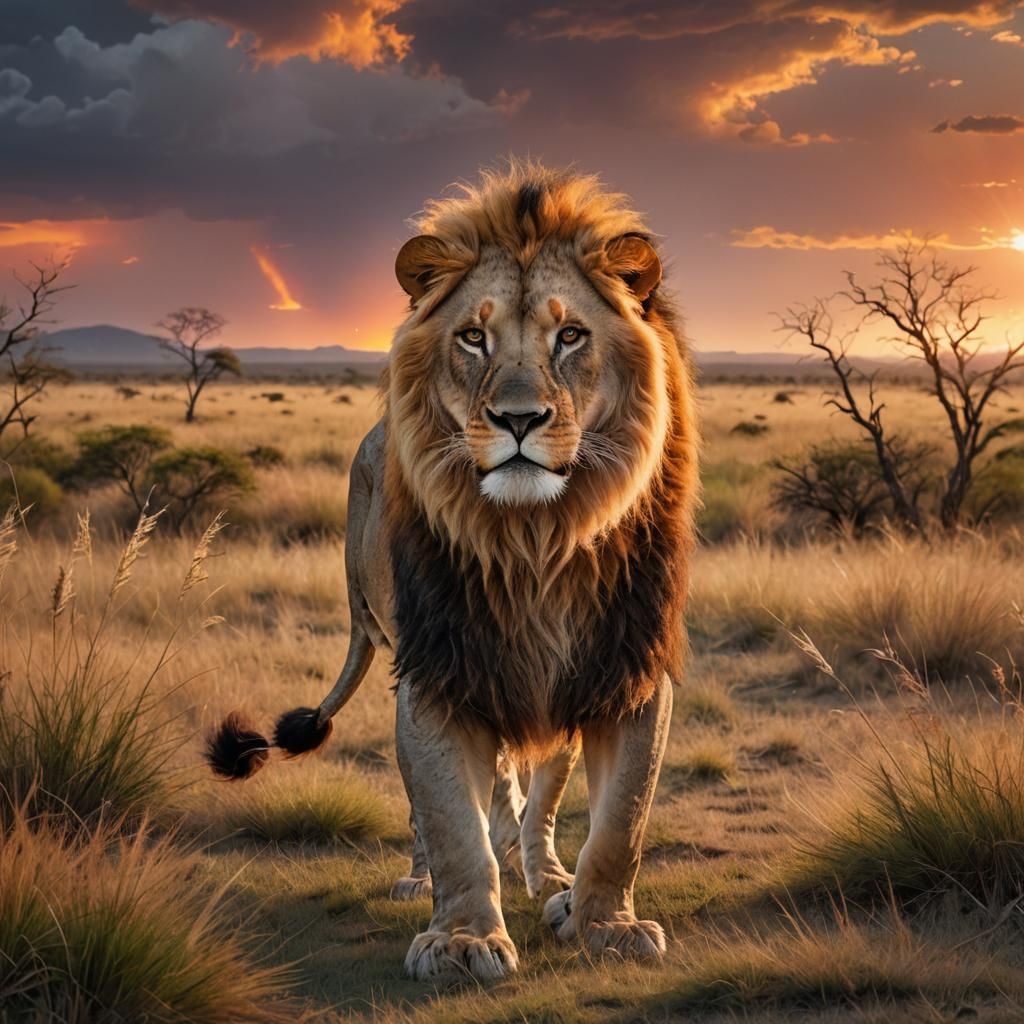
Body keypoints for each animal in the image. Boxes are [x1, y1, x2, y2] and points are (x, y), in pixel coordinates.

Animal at [206, 161, 698, 982]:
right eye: (473, 336)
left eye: (571, 335)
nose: (519, 420)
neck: (534, 544)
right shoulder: (440, 670)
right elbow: (448, 818)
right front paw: (464, 939)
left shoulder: (625, 667)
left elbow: (620, 820)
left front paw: (603, 921)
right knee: (436, 808)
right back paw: (420, 879)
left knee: (536, 790)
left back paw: (547, 874)